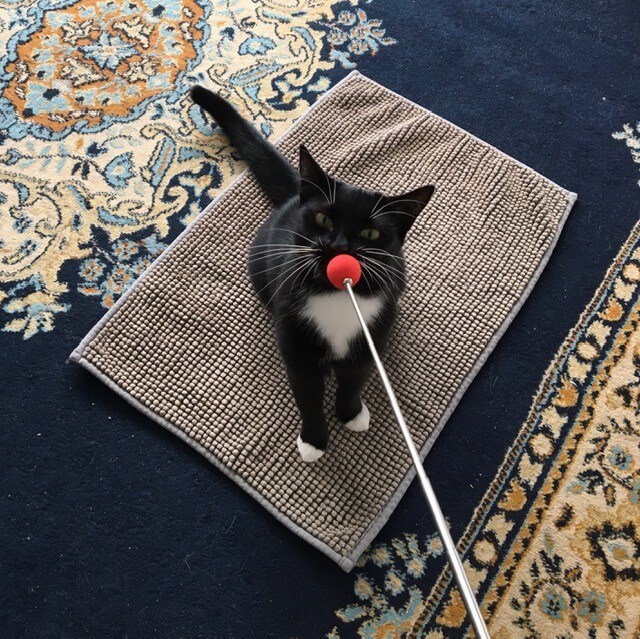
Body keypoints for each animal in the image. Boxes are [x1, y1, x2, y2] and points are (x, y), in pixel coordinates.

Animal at [188, 86, 432, 464]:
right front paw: (314, 440)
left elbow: (354, 379)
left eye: (371, 234)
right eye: (322, 219)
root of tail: (295, 195)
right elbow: (307, 395)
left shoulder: (369, 337)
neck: (337, 295)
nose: (338, 247)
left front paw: (351, 414)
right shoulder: (295, 341)